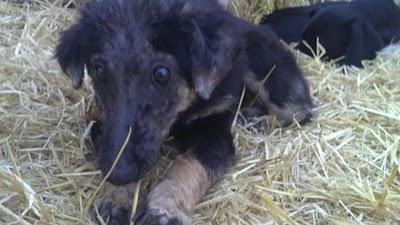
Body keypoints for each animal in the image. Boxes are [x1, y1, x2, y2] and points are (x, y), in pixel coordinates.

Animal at [54, 0, 314, 224]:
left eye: (161, 74)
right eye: (98, 70)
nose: (119, 175)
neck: (180, 115)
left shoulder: (214, 133)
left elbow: (188, 165)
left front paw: (165, 207)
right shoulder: (101, 125)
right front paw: (116, 197)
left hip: (262, 65)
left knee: (299, 108)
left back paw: (260, 120)